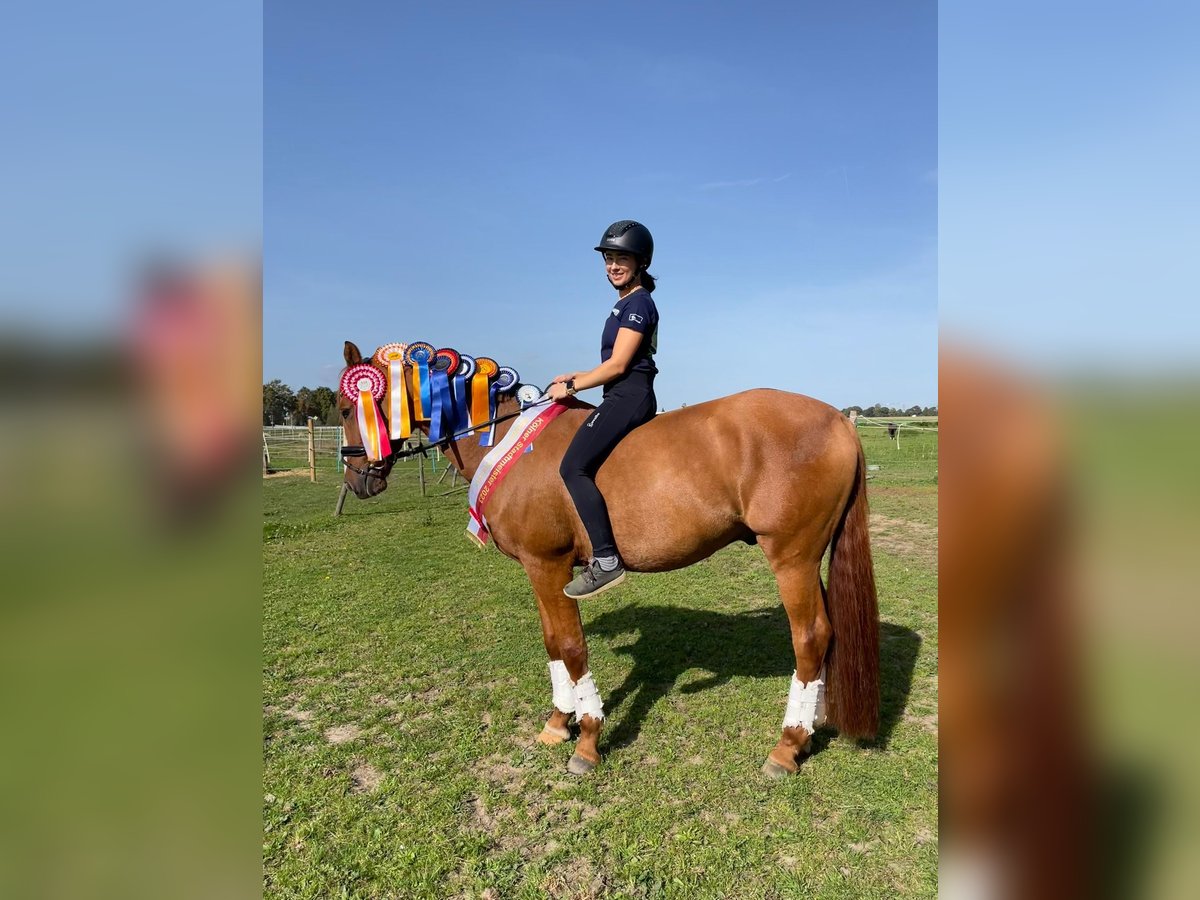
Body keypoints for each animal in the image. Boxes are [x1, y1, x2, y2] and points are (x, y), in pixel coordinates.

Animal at [338, 340, 883, 777]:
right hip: (809, 559)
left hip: (791, 557)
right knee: (827, 635)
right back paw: (811, 726)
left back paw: (786, 747)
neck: (513, 441)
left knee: (810, 637)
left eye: (347, 409)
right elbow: (552, 644)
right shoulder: (538, 571)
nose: (357, 481)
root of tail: (838, 419)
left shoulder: (549, 564)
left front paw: (587, 739)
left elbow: (571, 646)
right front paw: (558, 723)